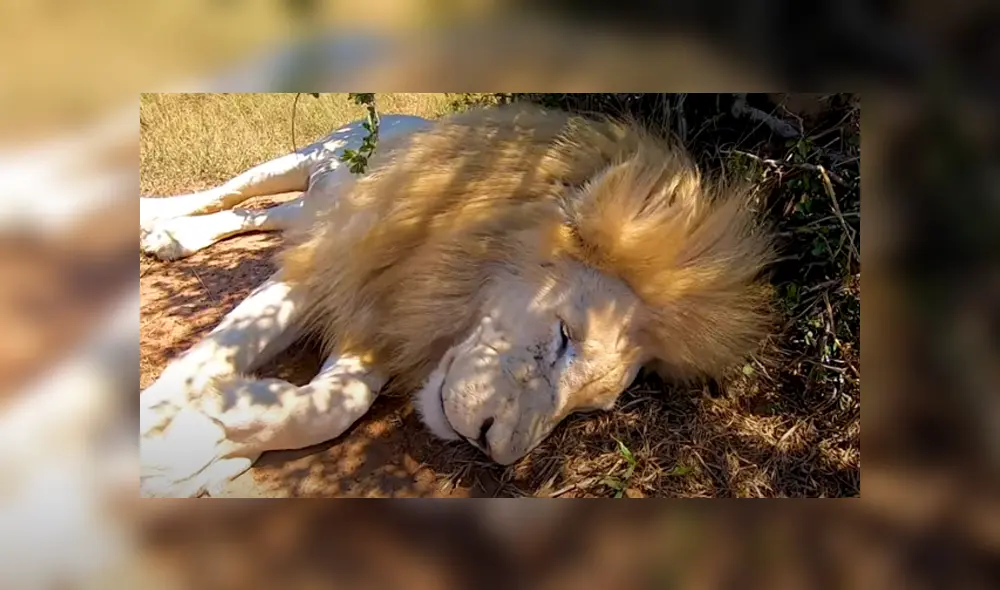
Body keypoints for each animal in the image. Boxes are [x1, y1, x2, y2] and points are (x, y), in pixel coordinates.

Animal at [139, 105, 774, 497]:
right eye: (565, 335)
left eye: (589, 411)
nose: (491, 445)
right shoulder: (336, 266)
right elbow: (213, 355)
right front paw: (162, 434)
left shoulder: (385, 319)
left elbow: (333, 406)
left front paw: (209, 444)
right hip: (301, 161)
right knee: (229, 191)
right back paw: (152, 216)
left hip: (313, 208)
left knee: (260, 216)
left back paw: (173, 238)